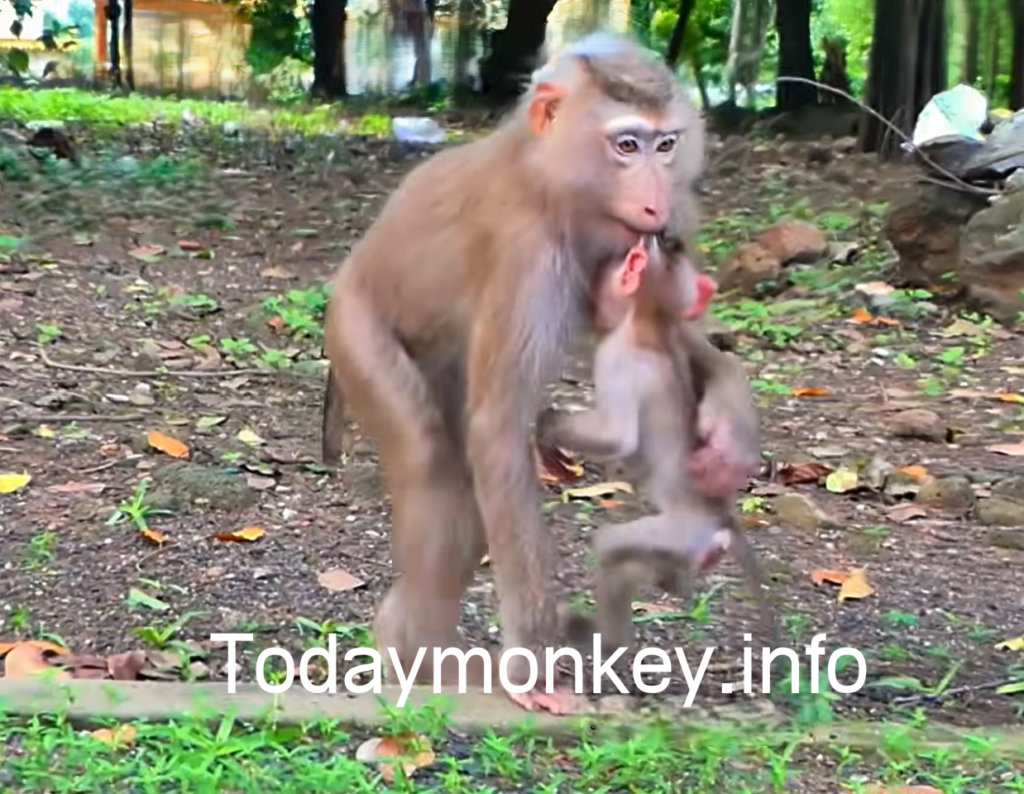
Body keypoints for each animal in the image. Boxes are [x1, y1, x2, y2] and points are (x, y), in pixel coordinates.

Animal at [536, 236, 775, 655]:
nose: (655, 237)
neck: (652, 326)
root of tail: (721, 520)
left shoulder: (617, 357)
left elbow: (619, 436)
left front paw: (546, 426)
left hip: (680, 534)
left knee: (610, 546)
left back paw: (605, 638)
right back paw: (670, 583)